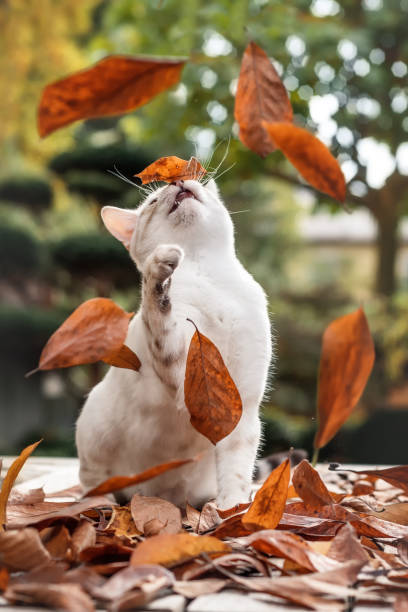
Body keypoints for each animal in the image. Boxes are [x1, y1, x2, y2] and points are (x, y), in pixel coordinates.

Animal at [75, 178, 272, 512]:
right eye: (153, 200)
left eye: (197, 180)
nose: (177, 180)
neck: (205, 271)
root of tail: (164, 497)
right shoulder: (181, 367)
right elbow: (156, 303)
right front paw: (159, 267)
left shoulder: (240, 402)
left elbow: (236, 468)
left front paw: (232, 509)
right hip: (94, 427)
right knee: (93, 483)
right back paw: (99, 501)